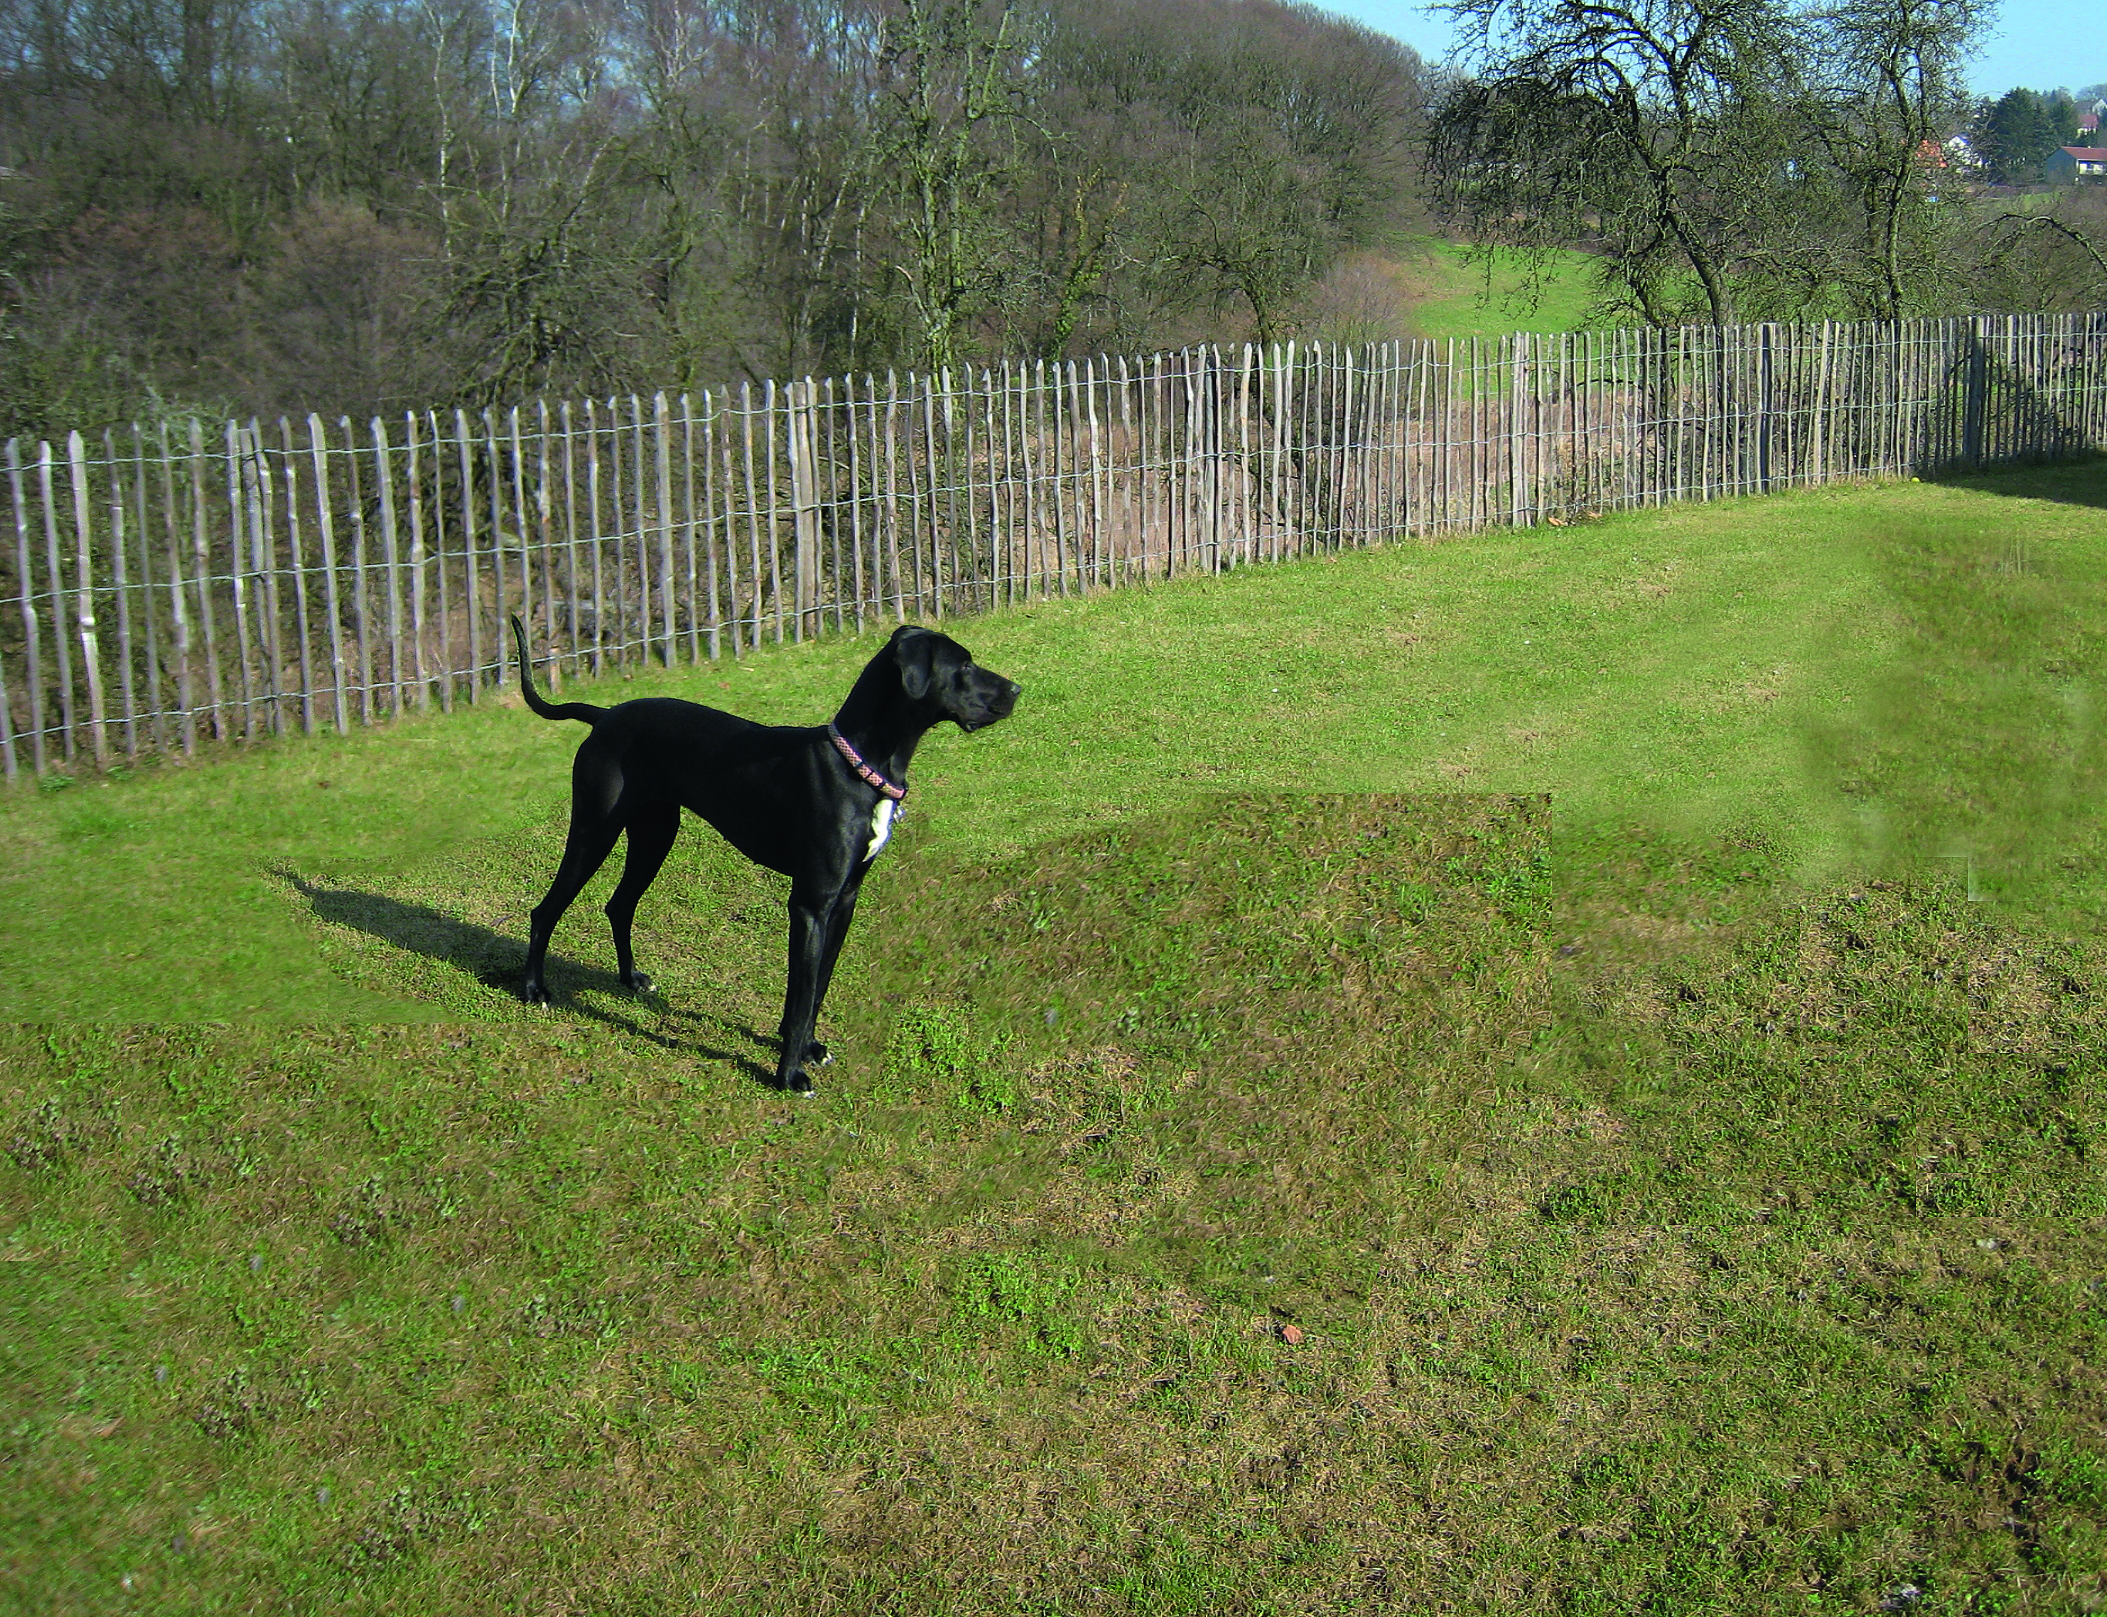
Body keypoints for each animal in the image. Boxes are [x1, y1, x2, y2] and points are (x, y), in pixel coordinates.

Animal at [509, 615, 1019, 1096]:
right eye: (964, 666)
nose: (1017, 690)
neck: (860, 765)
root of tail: (604, 716)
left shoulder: (845, 901)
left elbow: (817, 990)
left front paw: (810, 1048)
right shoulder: (810, 904)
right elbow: (800, 995)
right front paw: (789, 1074)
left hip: (655, 834)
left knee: (620, 905)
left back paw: (632, 978)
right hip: (595, 831)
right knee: (546, 910)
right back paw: (535, 989)